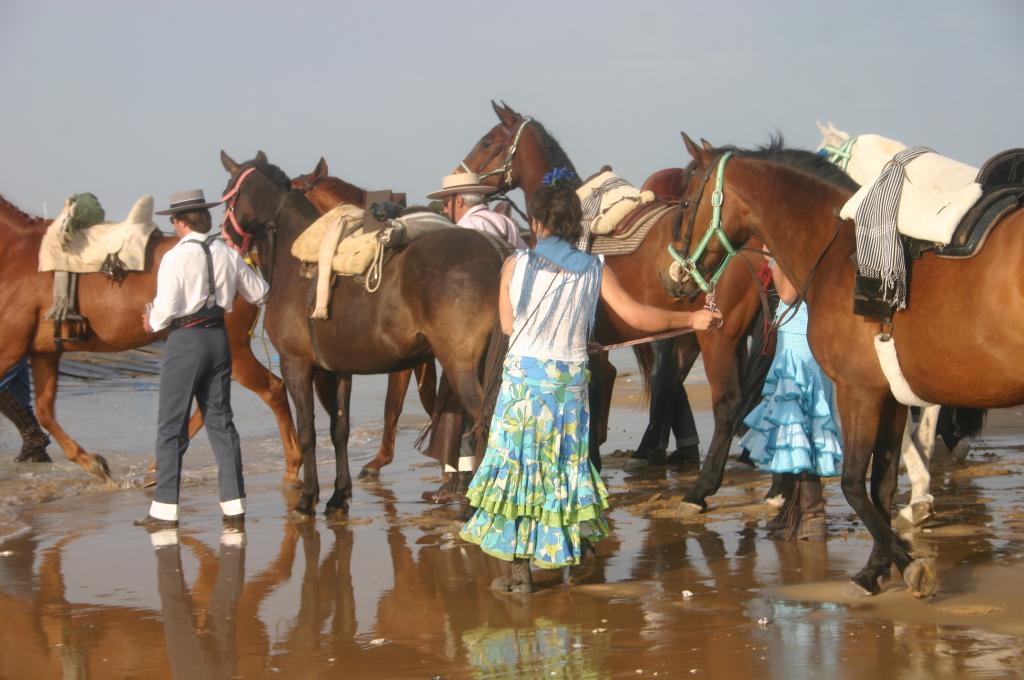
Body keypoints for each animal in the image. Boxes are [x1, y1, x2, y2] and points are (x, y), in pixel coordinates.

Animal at [0, 193, 303, 485]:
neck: (17, 254)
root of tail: (245, 262)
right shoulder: (43, 352)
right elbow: (44, 410)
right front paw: (93, 463)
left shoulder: (10, 350)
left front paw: (95, 465)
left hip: (236, 350)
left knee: (273, 389)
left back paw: (293, 465)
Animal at [456, 100, 770, 503]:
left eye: (488, 142)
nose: (458, 180)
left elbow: (593, 395)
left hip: (719, 336)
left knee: (728, 403)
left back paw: (702, 486)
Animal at [671, 131, 1024, 593]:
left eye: (685, 201)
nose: (674, 276)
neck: (842, 251)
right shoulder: (891, 396)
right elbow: (882, 485)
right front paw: (877, 567)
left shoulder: (858, 391)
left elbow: (854, 483)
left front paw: (904, 563)